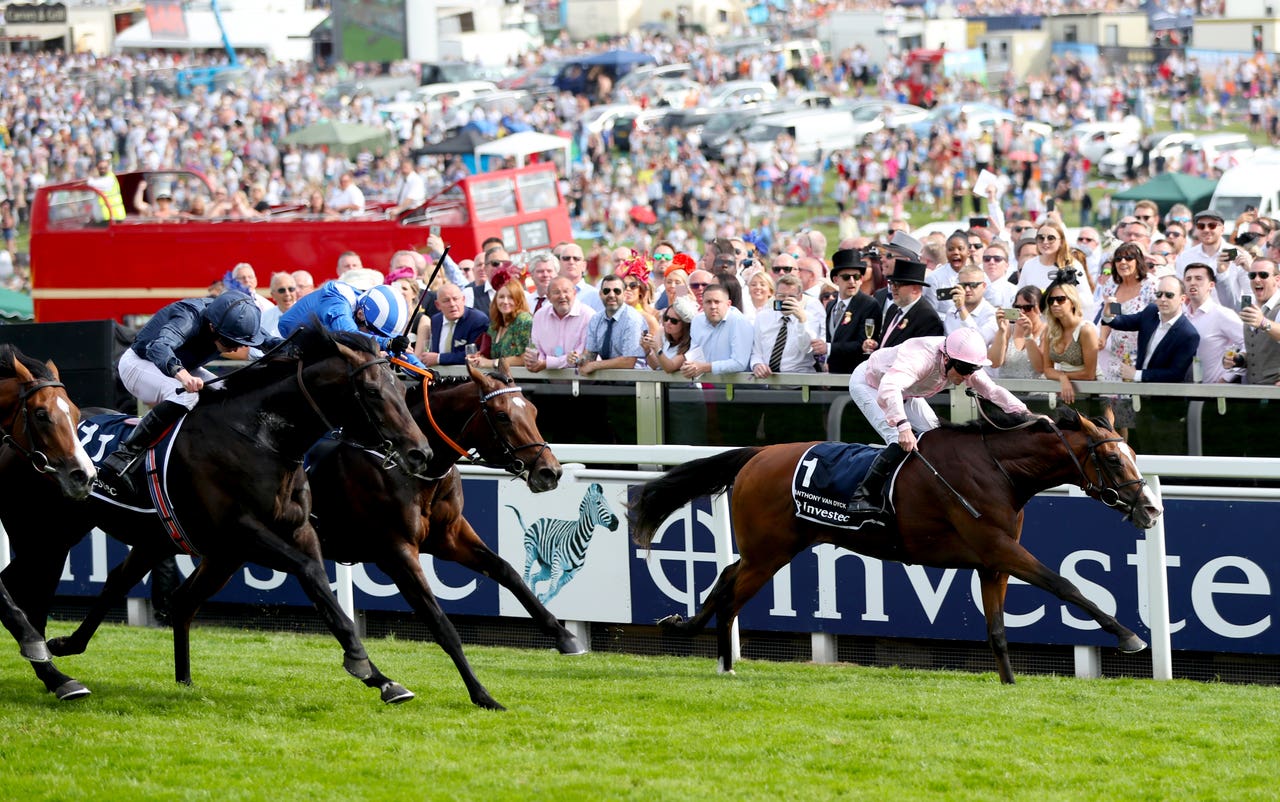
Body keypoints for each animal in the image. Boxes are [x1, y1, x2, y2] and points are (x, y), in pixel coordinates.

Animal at [45, 363, 573, 711]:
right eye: (502, 416)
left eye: (535, 409)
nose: (549, 472)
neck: (412, 464)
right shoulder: (395, 550)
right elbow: (441, 624)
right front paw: (483, 694)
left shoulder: (448, 536)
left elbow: (507, 571)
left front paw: (563, 634)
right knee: (127, 585)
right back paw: (66, 650)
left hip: (210, 549)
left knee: (171, 597)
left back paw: (171, 676)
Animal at [624, 406, 1167, 685]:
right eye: (1113, 461)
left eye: (1133, 455)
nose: (1151, 509)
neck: (999, 471)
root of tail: (757, 455)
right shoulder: (1000, 550)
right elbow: (1066, 585)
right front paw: (1130, 636)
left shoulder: (992, 562)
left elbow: (997, 630)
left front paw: (1010, 686)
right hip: (770, 552)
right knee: (733, 594)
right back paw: (724, 662)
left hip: (771, 548)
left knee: (724, 576)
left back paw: (688, 628)